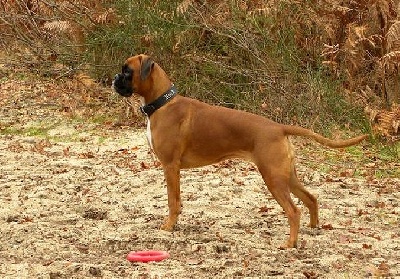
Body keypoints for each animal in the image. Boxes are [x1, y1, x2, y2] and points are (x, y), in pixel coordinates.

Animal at [111, 54, 366, 249]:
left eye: (127, 71)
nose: (114, 78)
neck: (163, 103)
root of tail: (278, 127)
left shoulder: (170, 167)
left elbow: (173, 201)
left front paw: (168, 227)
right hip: (287, 177)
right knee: (311, 199)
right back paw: (313, 229)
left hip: (273, 178)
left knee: (294, 211)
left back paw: (290, 243)